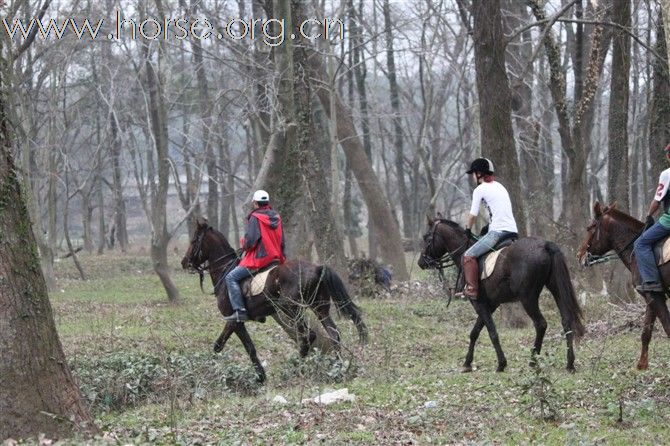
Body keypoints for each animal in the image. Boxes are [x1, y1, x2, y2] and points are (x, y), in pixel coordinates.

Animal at [182, 218, 368, 382]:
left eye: (194, 240)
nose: (184, 262)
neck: (225, 272)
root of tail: (317, 268)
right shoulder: (236, 323)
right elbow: (247, 347)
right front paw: (260, 377)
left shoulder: (234, 320)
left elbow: (225, 346)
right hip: (319, 308)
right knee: (333, 334)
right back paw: (337, 367)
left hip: (291, 309)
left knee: (308, 336)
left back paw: (295, 368)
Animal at [418, 216, 584, 372]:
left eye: (427, 238)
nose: (421, 263)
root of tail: (545, 245)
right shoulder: (491, 304)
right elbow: (475, 332)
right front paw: (467, 363)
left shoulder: (479, 303)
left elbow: (492, 332)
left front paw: (501, 364)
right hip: (556, 289)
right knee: (566, 320)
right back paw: (570, 363)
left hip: (528, 298)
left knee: (541, 324)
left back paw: (533, 361)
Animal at [576, 202, 670, 370]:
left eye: (590, 227)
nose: (579, 255)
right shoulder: (652, 296)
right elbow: (646, 333)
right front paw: (642, 365)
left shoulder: (653, 296)